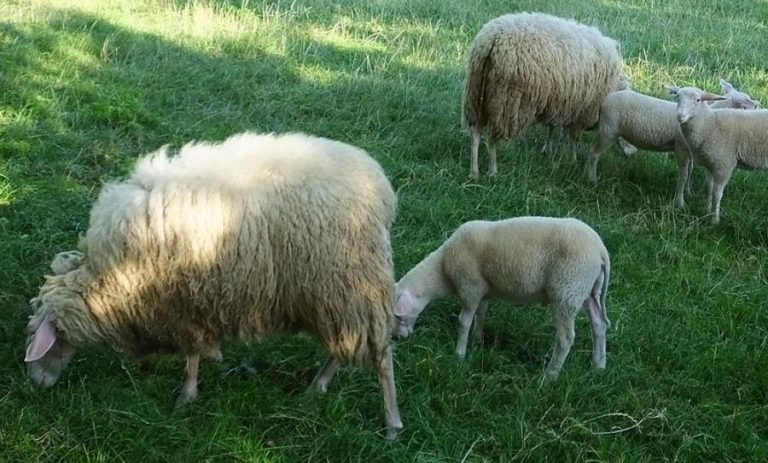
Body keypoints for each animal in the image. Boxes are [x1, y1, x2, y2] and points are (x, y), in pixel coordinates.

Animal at [24, 131, 403, 438]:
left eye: (44, 341)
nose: (35, 384)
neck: (108, 278)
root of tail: (379, 185)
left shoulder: (185, 300)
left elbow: (193, 351)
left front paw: (186, 395)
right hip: (337, 295)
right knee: (346, 345)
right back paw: (318, 386)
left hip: (351, 284)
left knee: (380, 355)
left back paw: (391, 424)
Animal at [392, 217, 610, 381]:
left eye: (396, 317)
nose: (398, 338)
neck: (443, 269)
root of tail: (601, 250)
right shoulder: (483, 289)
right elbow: (481, 314)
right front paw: (477, 340)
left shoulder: (470, 288)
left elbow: (464, 321)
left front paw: (459, 354)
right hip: (587, 290)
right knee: (599, 324)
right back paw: (598, 366)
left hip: (566, 291)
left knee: (565, 338)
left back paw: (550, 376)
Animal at [463, 12, 624, 178]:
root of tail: (492, 40)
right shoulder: (582, 111)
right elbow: (574, 138)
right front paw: (573, 160)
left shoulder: (557, 102)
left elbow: (551, 127)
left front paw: (547, 149)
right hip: (504, 101)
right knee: (492, 138)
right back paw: (493, 170)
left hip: (476, 94)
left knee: (475, 133)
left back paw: (474, 172)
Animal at [587, 80, 759, 209]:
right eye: (743, 104)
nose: (757, 105)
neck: (707, 119)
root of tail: (605, 99)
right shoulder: (680, 148)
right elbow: (683, 175)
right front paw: (680, 203)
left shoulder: (690, 151)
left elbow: (690, 171)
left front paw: (689, 192)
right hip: (608, 129)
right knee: (593, 153)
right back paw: (592, 179)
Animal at [668, 85, 768, 224]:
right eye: (677, 97)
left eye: (698, 100)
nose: (680, 116)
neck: (711, 125)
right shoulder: (710, 164)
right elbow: (709, 189)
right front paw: (707, 211)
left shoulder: (724, 166)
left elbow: (717, 194)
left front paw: (715, 221)